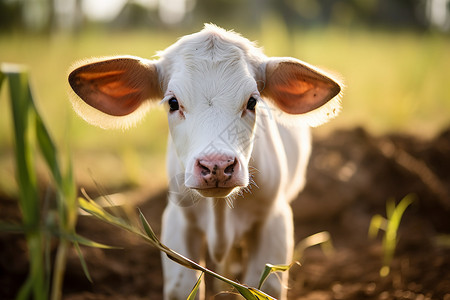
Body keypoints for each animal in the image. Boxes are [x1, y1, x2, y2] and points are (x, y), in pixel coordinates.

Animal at [68, 24, 342, 300]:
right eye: (173, 102)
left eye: (252, 101)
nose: (216, 165)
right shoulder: (178, 221)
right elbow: (183, 287)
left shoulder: (273, 219)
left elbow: (264, 286)